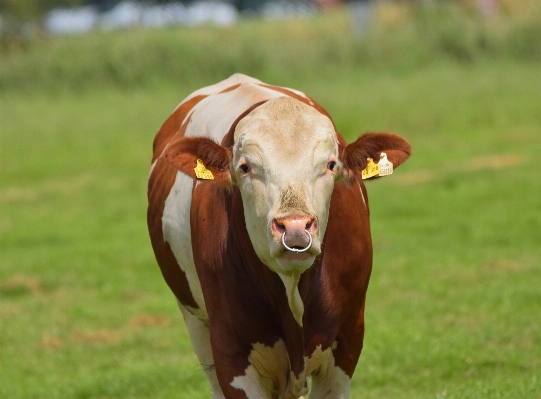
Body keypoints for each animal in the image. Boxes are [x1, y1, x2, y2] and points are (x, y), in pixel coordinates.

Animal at [148, 73, 410, 398]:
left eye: (330, 164)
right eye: (245, 167)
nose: (295, 227)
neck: (293, 288)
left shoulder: (347, 341)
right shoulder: (231, 355)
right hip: (194, 320)